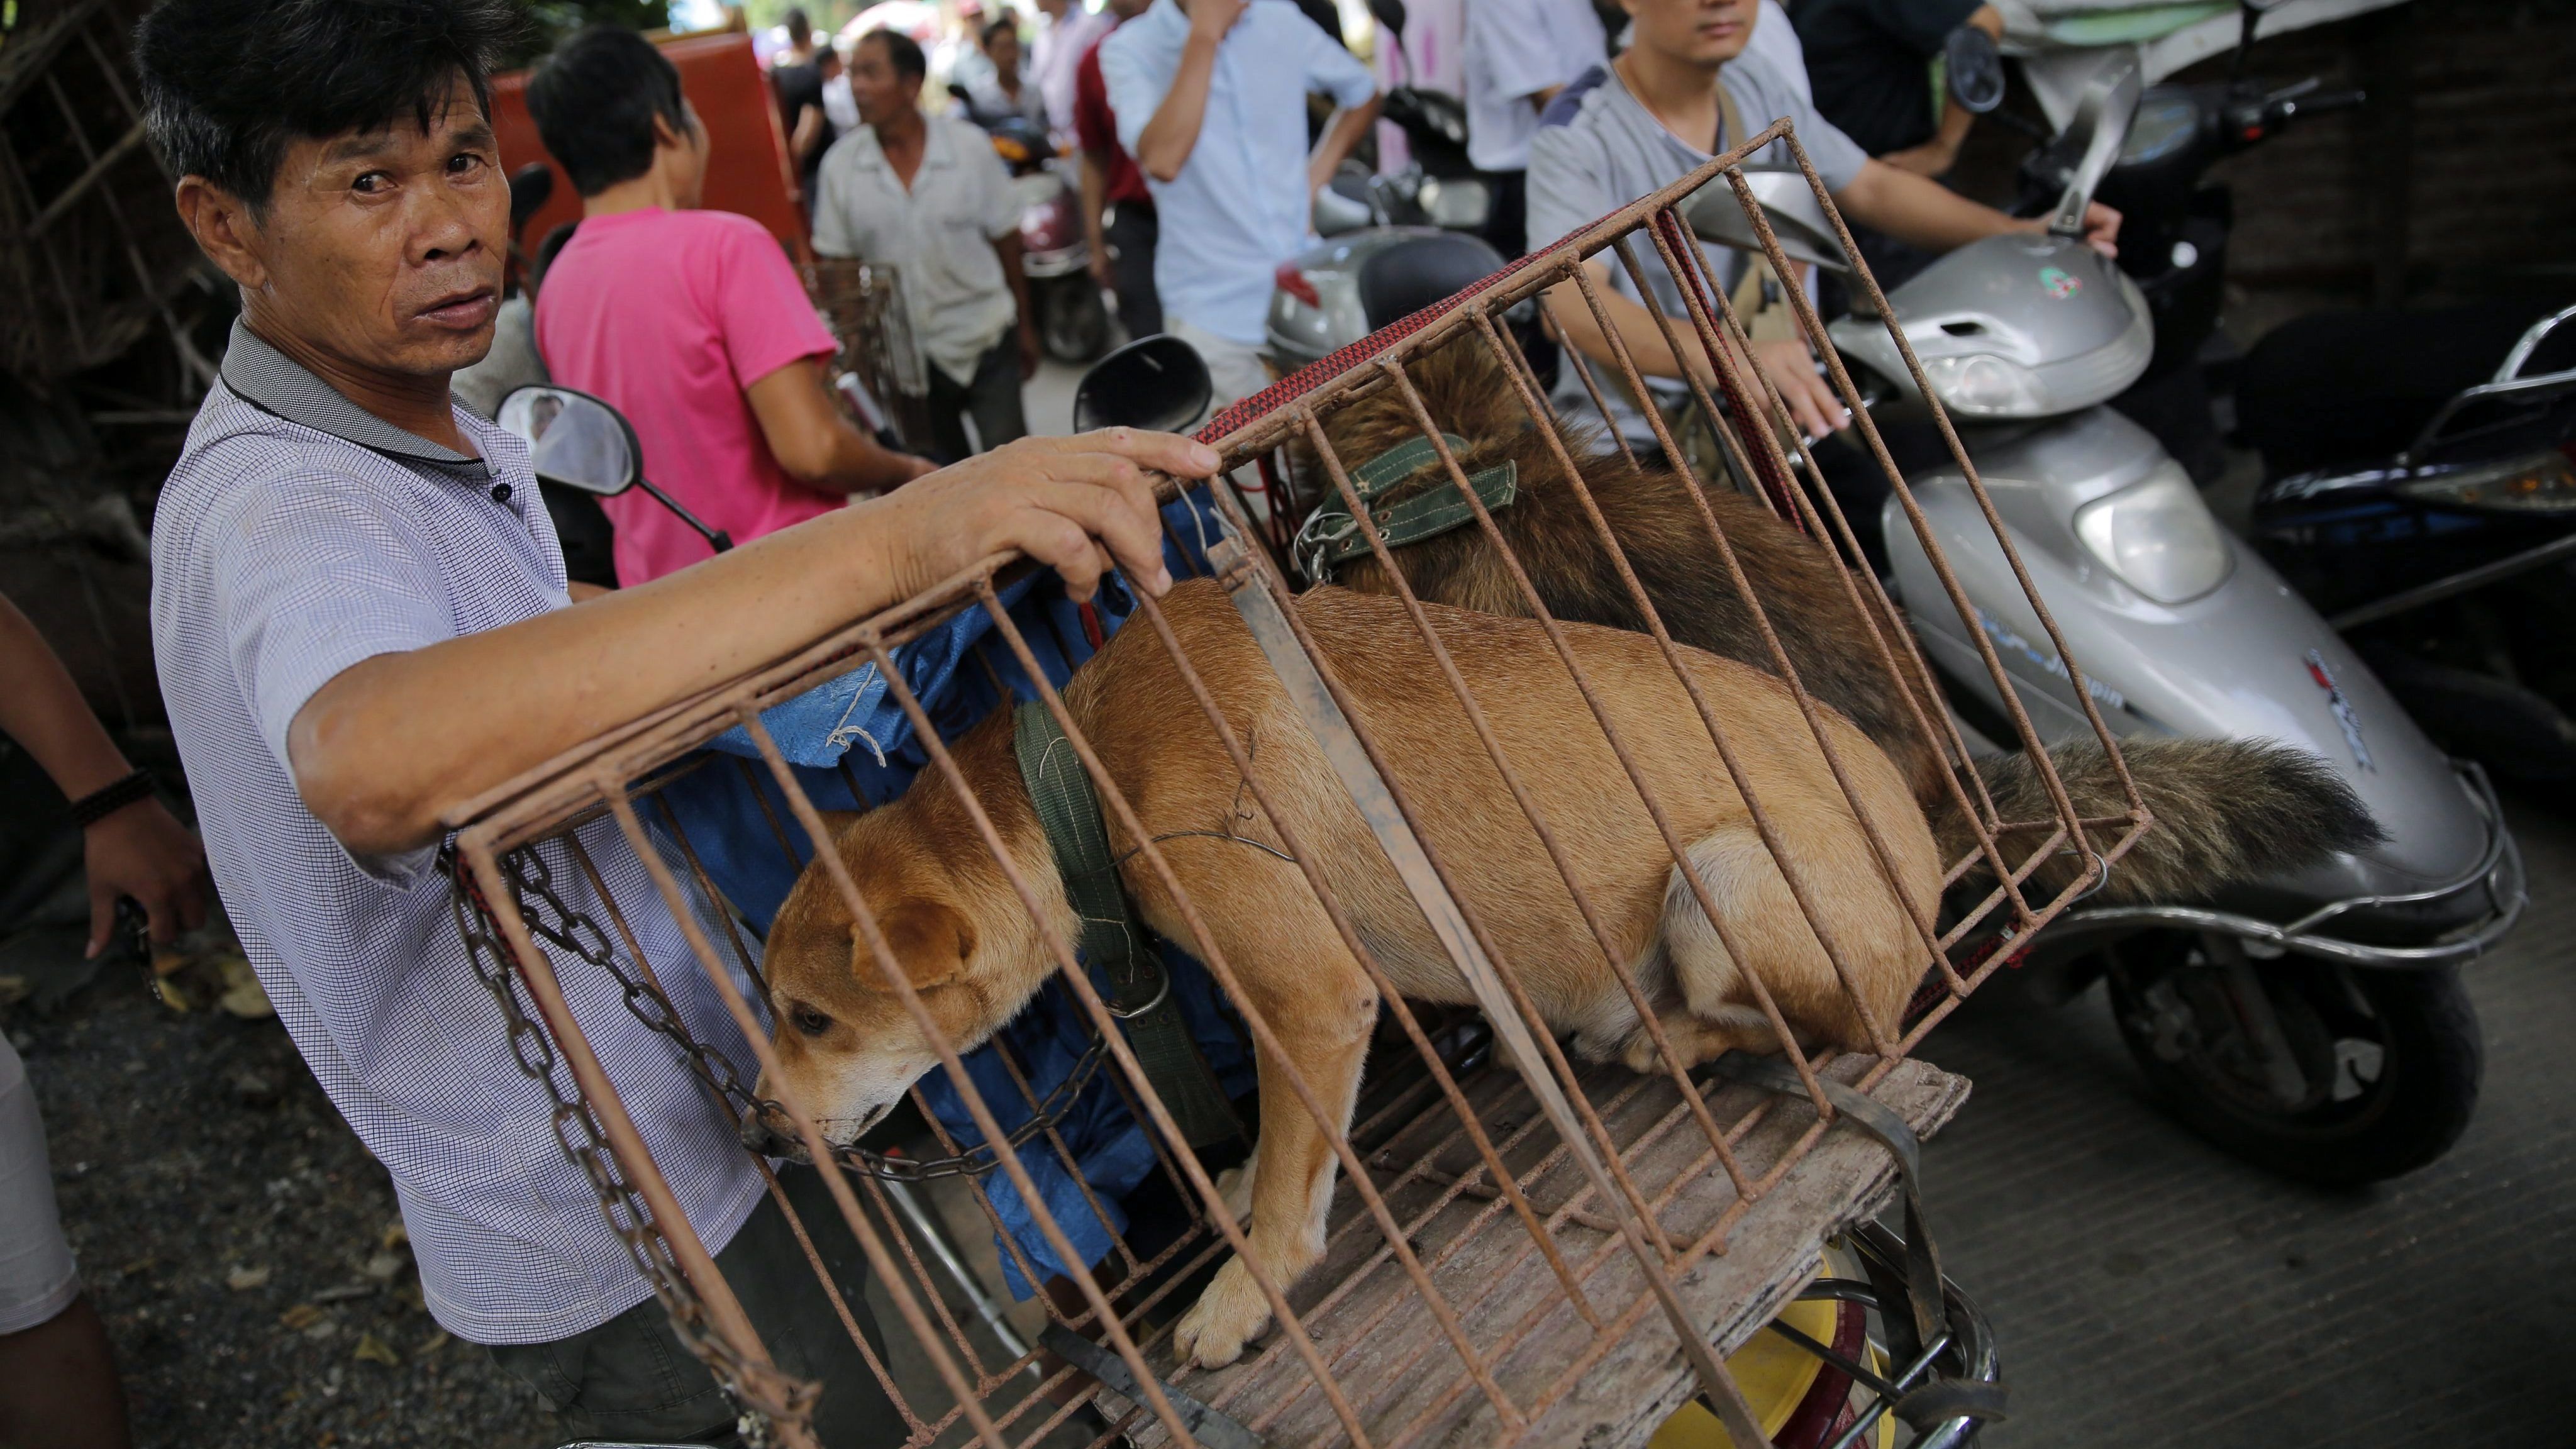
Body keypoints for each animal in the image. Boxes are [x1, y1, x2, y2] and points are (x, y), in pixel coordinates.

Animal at [757, 572, 1937, 1361]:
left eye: (808, 1017)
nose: (759, 1135)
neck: (1080, 776)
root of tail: (1925, 859)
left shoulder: (1316, 1002)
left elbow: (1293, 1189)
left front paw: (1245, 1297)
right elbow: (1278, 1149)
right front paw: (1238, 1185)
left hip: (1723, 874)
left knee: (1827, 1027)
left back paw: (1652, 1032)